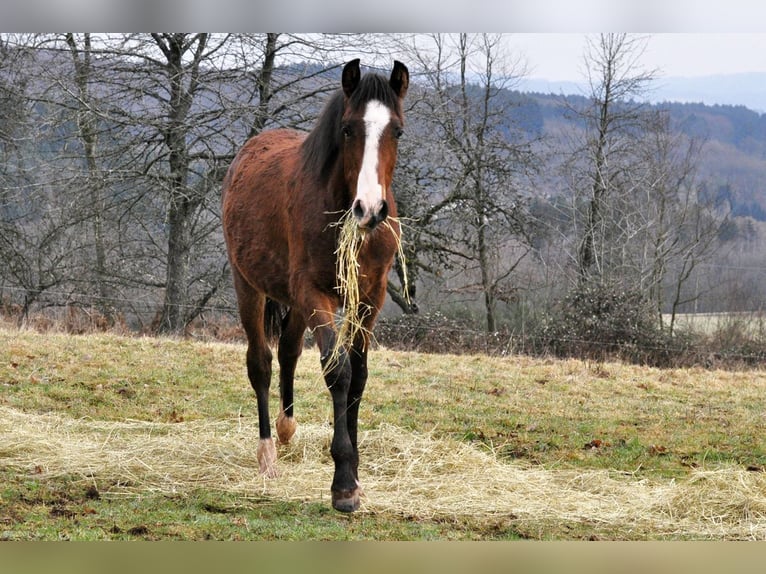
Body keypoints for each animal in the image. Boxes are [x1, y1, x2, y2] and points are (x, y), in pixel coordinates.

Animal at [222, 60, 412, 516]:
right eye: (348, 129)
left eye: (397, 130)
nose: (370, 209)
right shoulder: (315, 295)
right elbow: (337, 372)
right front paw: (342, 484)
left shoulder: (369, 300)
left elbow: (358, 375)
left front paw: (356, 475)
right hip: (248, 286)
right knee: (261, 363)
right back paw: (268, 456)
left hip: (292, 302)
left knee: (288, 353)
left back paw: (287, 429)